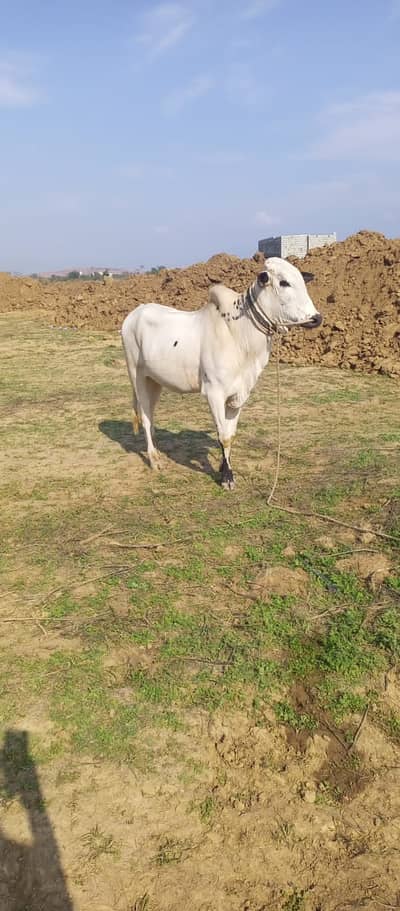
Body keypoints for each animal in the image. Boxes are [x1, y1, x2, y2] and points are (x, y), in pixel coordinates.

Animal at [121, 257, 322, 490]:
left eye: (302, 281)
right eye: (284, 283)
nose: (316, 318)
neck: (239, 335)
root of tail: (135, 313)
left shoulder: (239, 394)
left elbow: (230, 434)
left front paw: (222, 467)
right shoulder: (214, 393)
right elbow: (223, 436)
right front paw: (227, 477)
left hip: (154, 380)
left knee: (151, 417)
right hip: (136, 375)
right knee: (144, 417)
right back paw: (154, 459)